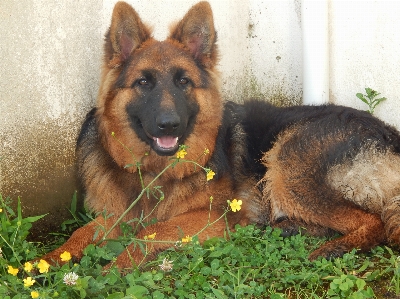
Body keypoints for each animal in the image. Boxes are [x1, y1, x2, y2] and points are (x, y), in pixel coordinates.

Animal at [41, 0, 400, 268]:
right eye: (143, 82)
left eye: (183, 81)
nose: (169, 124)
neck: (155, 170)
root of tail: (390, 137)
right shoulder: (116, 215)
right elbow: (79, 235)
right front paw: (48, 263)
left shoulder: (210, 218)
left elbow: (151, 230)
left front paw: (115, 266)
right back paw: (288, 229)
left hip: (287, 163)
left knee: (375, 222)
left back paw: (332, 248)